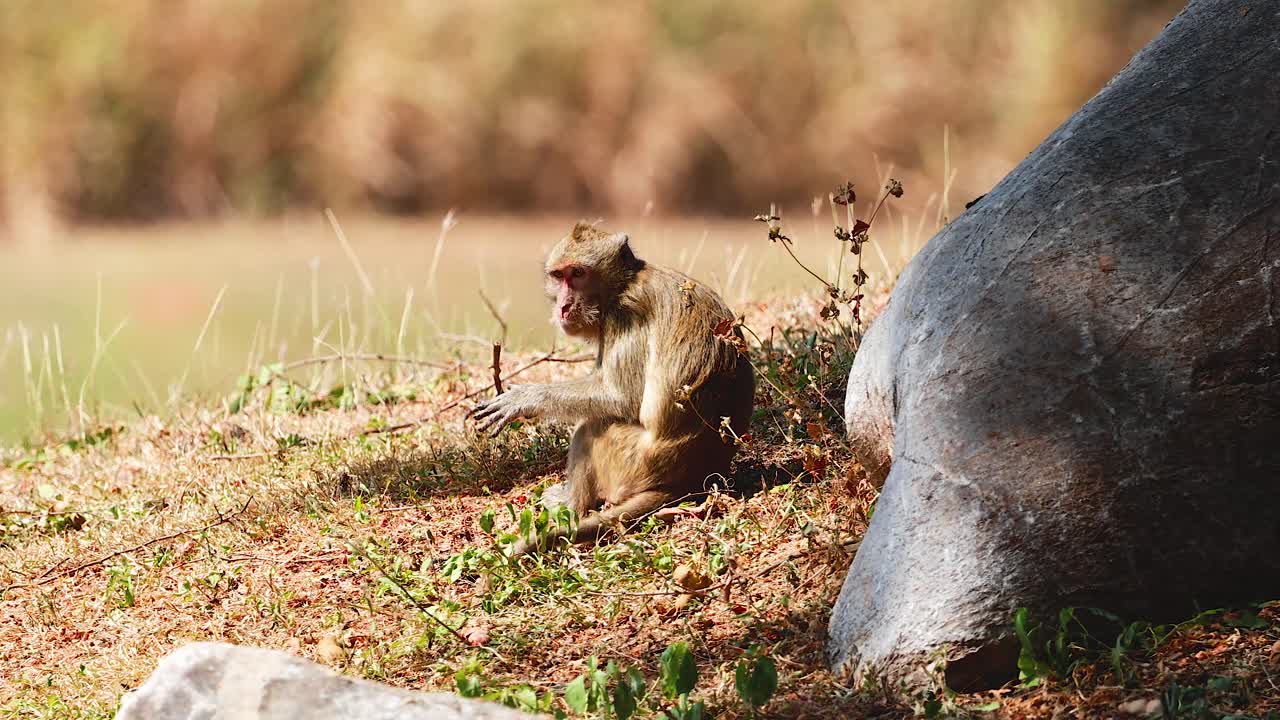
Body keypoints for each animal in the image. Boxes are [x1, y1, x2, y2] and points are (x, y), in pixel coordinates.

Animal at [471, 222, 754, 556]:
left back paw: (569, 504)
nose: (564, 307)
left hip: (632, 462)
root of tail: (691, 480)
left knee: (592, 426)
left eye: (578, 273)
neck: (621, 287)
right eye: (559, 276)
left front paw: (525, 398)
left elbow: (622, 397)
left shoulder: (627, 316)